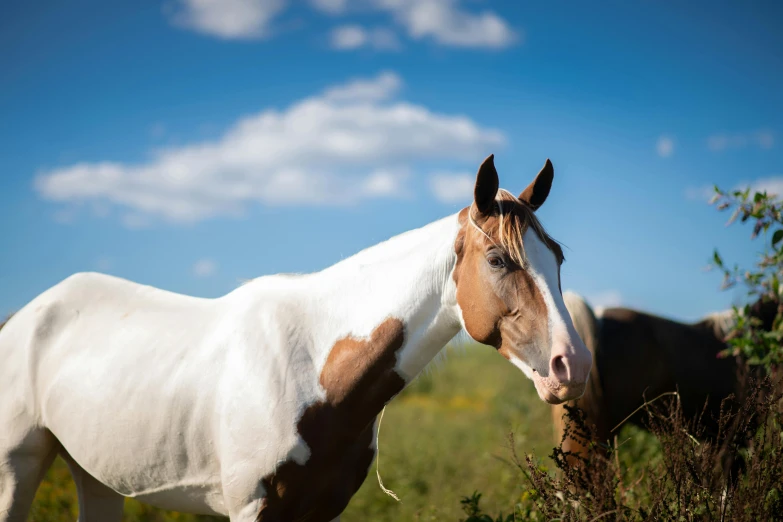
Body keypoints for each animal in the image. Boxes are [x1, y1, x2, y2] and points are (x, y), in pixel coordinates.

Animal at [0, 154, 592, 520]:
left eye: (559, 258)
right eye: (497, 259)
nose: (573, 366)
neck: (312, 370)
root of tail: (25, 318)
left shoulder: (322, 509)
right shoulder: (252, 509)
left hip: (95, 475)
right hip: (16, 470)